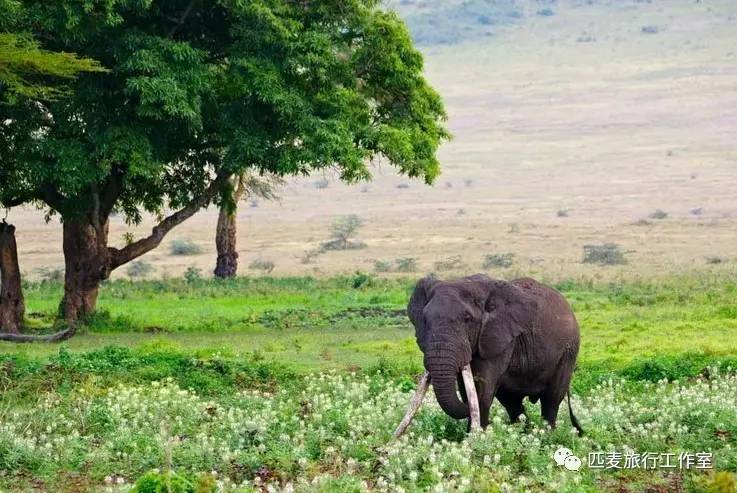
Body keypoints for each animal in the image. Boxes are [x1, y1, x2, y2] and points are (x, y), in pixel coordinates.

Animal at [392, 274, 580, 436]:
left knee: (551, 399)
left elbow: (482, 390)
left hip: (568, 352)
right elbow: (466, 389)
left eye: (467, 319)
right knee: (512, 402)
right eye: (424, 320)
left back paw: (547, 435)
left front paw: (474, 439)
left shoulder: (500, 337)